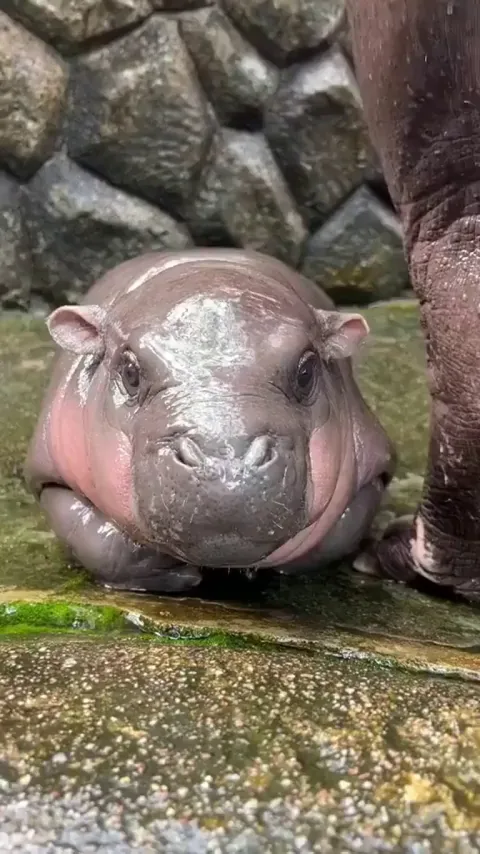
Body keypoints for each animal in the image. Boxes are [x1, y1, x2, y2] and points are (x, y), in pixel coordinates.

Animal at [25, 248, 394, 593]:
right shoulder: (48, 473)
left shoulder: (374, 471)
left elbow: (337, 534)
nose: (226, 468)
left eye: (306, 371)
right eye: (129, 371)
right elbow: (94, 540)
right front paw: (173, 572)